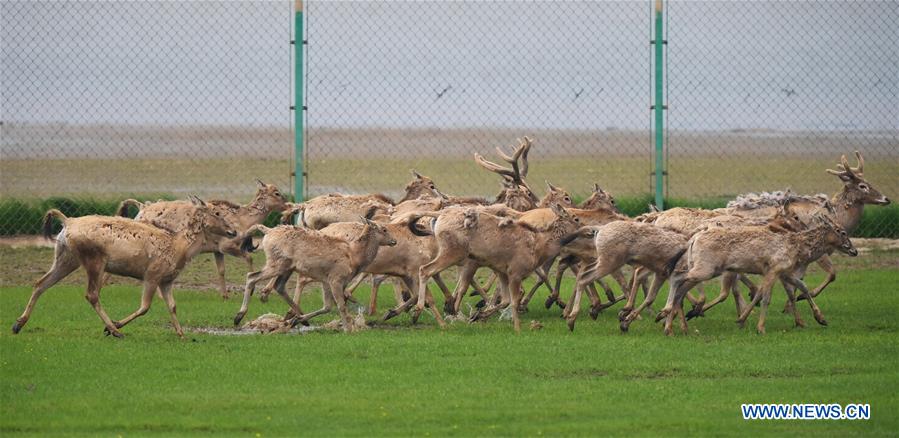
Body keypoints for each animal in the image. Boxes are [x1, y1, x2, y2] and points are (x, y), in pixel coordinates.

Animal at [11, 197, 236, 338]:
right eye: (217, 213)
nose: (233, 231)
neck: (179, 248)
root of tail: (67, 222)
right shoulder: (152, 274)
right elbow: (145, 307)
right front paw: (114, 326)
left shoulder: (167, 280)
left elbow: (172, 306)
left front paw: (182, 334)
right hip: (94, 259)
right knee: (91, 294)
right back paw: (115, 330)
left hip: (66, 257)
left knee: (41, 283)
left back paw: (18, 324)